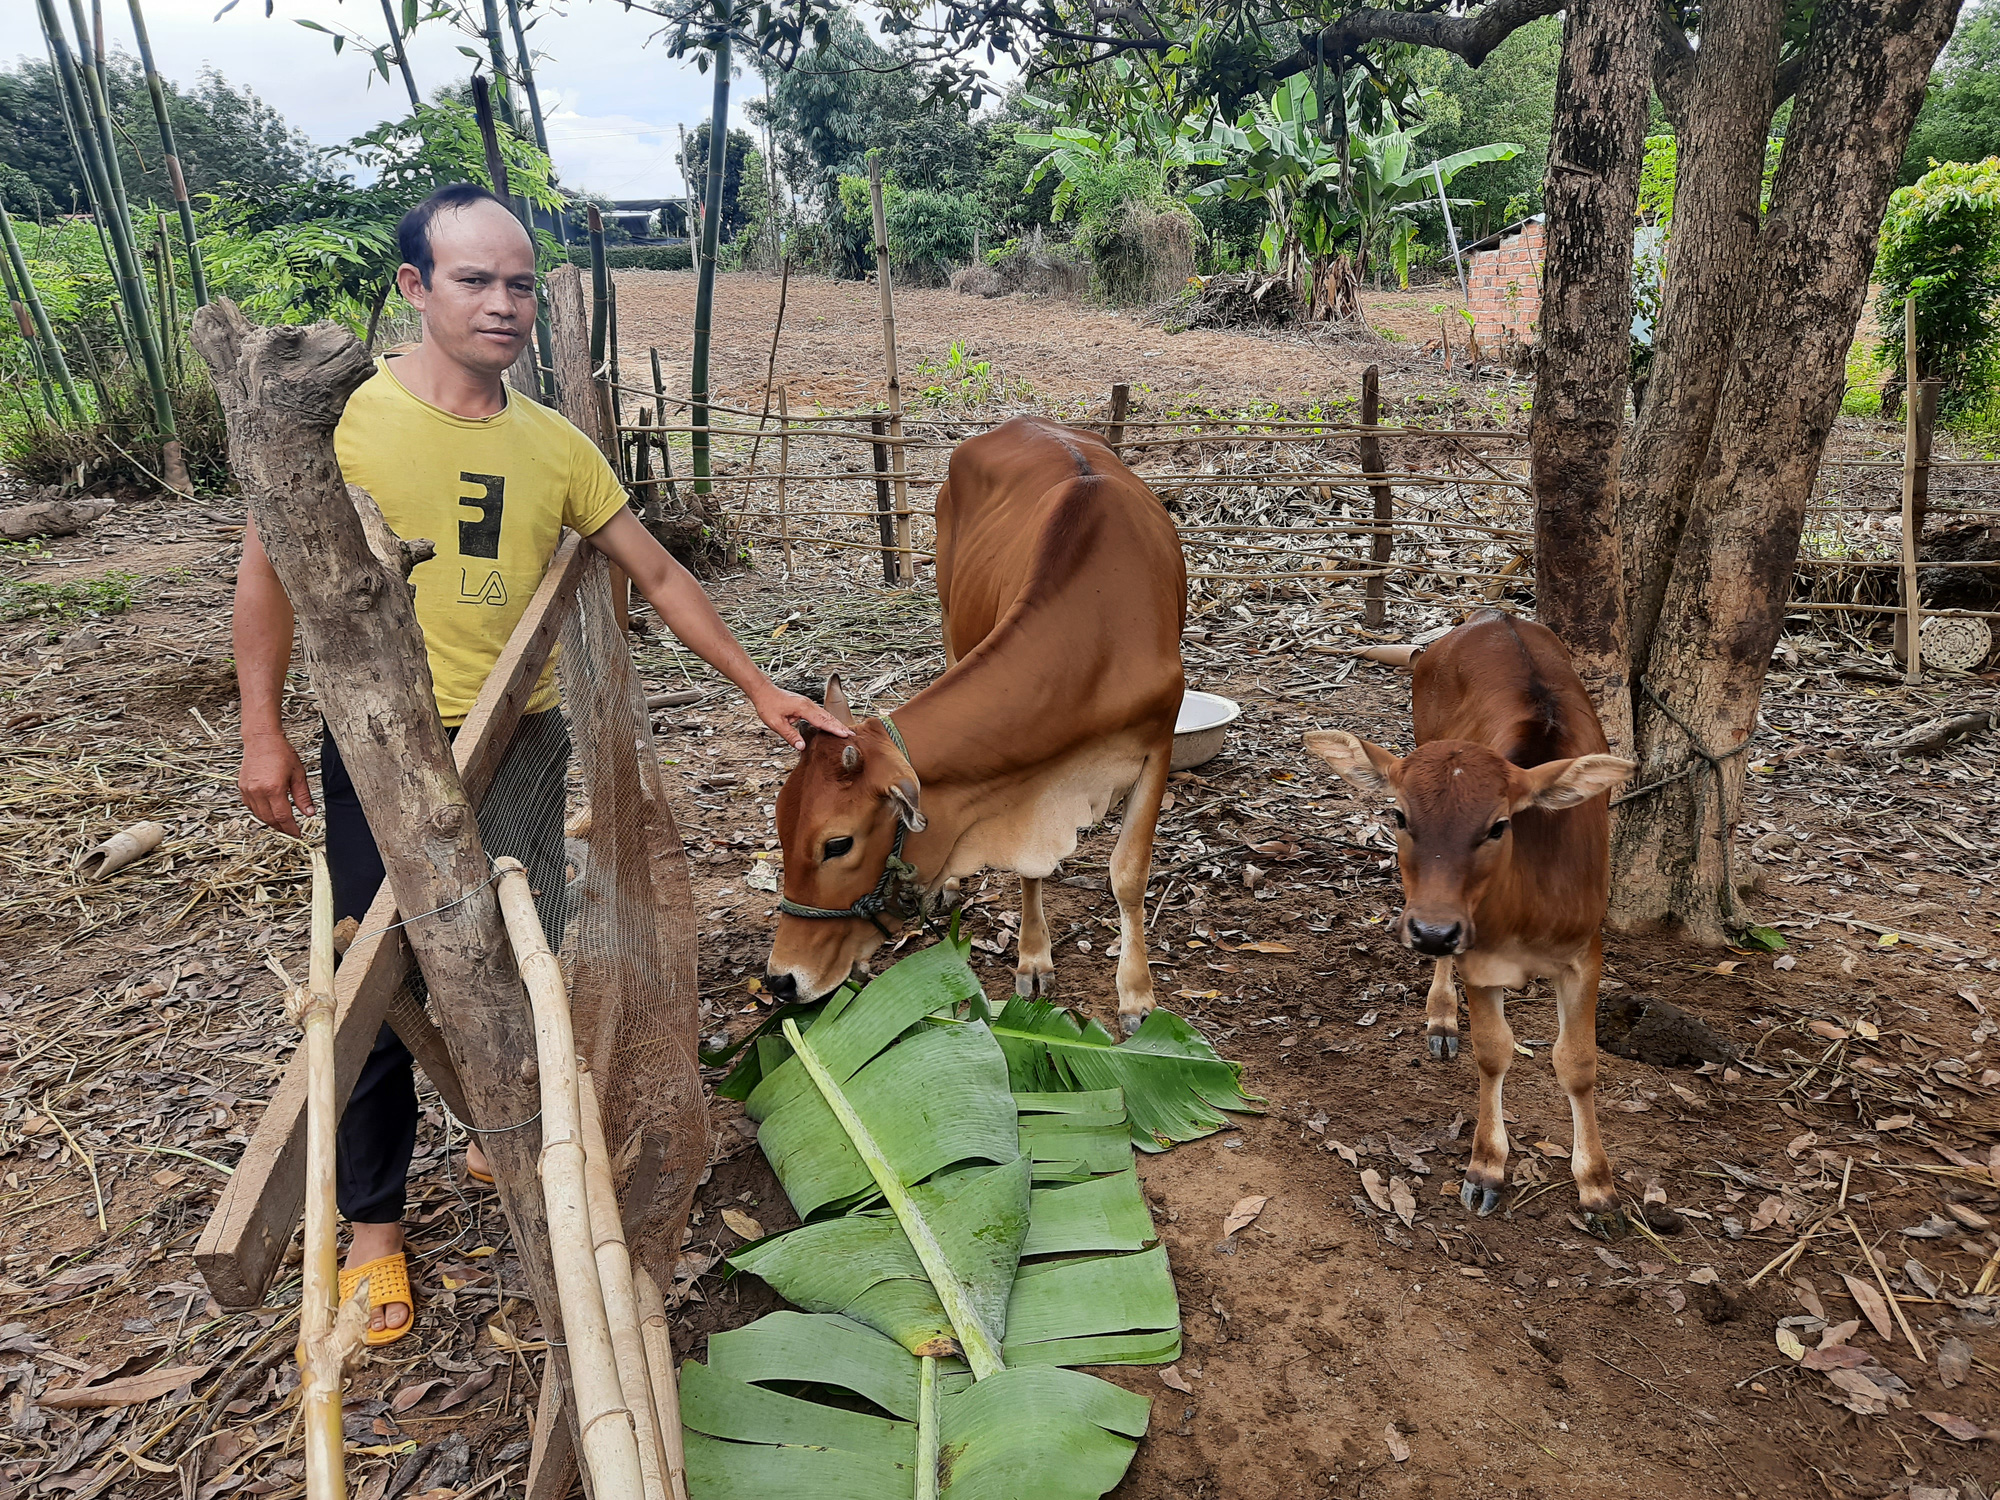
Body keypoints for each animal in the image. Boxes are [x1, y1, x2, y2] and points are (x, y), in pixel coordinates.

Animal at [756, 420, 1176, 1032]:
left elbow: (1129, 873)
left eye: (837, 844)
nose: (781, 980)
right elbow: (1030, 868)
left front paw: (1137, 996)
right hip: (952, 622)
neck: (1099, 633)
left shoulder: (1160, 740)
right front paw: (1032, 959)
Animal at [1304, 612, 1632, 1232]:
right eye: (1398, 814)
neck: (1527, 908)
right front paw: (1486, 1169)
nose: (1434, 931)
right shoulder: (1478, 956)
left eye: (1499, 825)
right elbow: (1493, 1051)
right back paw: (1440, 1016)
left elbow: (1578, 1063)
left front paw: (1597, 1186)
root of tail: (1488, 616)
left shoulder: (1586, 951)